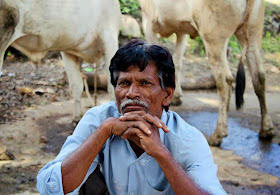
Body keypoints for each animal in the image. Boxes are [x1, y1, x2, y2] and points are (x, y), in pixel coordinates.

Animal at [139, 0, 274, 145]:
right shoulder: (181, 30)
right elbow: (176, 62)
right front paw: (176, 97)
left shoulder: (149, 21)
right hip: (253, 33)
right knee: (259, 77)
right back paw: (266, 130)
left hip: (214, 39)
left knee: (225, 81)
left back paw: (218, 134)